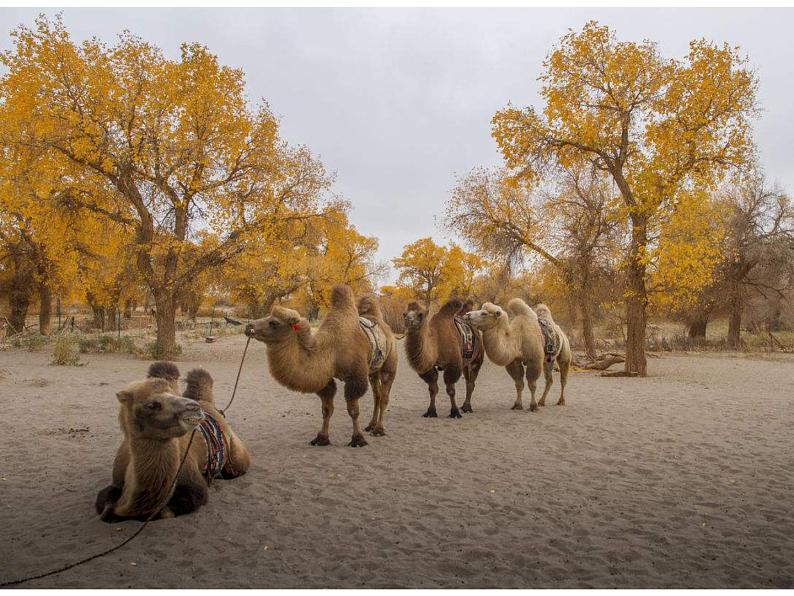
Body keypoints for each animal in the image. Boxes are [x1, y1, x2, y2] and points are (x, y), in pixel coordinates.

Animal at [96, 358, 251, 520]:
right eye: (151, 405)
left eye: (172, 394)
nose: (194, 408)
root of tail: (207, 402)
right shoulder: (115, 483)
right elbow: (104, 503)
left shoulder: (193, 487)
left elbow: (165, 511)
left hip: (236, 457)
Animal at [244, 284, 396, 448]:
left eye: (274, 323)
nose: (249, 326)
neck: (332, 351)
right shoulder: (326, 380)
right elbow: (326, 409)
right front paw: (322, 438)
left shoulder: (355, 378)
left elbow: (353, 410)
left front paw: (357, 439)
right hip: (373, 371)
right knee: (377, 394)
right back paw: (371, 425)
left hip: (389, 364)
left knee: (384, 396)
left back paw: (379, 429)